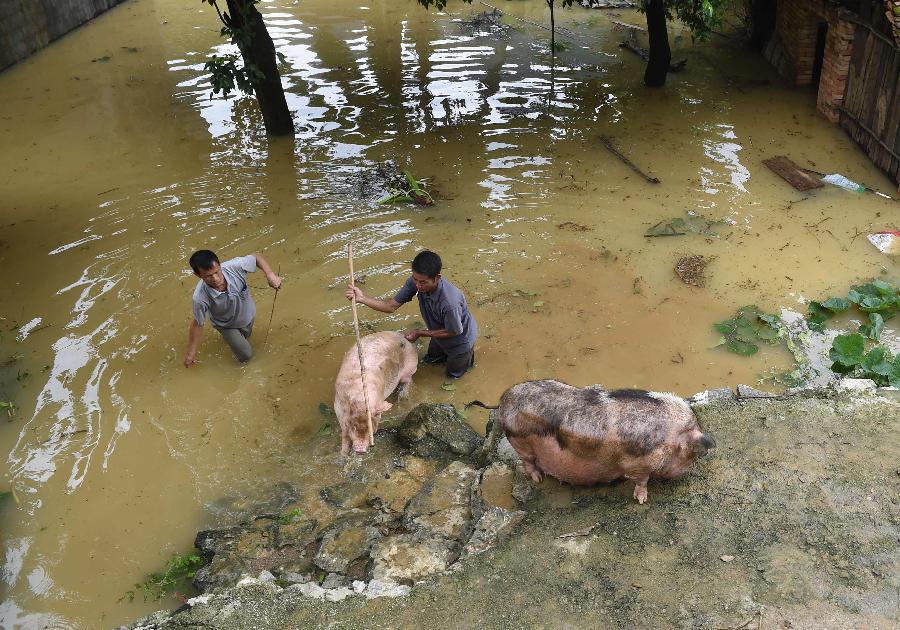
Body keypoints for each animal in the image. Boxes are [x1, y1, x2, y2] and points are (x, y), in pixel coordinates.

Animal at [472, 380, 716, 504]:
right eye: (691, 455)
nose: (684, 474)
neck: (671, 437)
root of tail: (503, 400)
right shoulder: (639, 465)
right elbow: (642, 482)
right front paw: (642, 501)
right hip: (520, 441)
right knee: (528, 462)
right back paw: (538, 479)